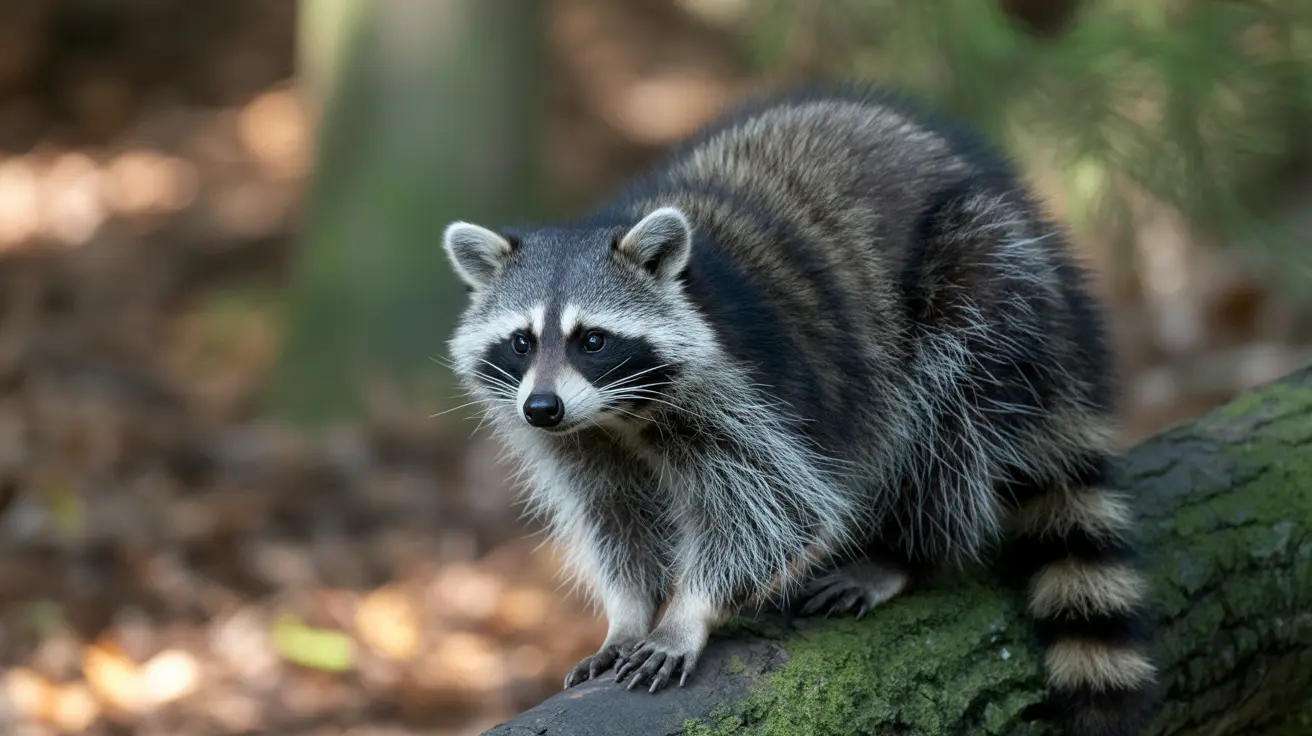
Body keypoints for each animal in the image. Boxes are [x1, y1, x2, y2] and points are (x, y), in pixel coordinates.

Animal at [442, 83, 1156, 735]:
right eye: (521, 341)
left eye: (591, 340)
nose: (542, 408)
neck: (619, 414)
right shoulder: (582, 439)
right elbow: (614, 518)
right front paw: (628, 612)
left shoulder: (743, 391)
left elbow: (773, 510)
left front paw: (687, 613)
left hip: (986, 279)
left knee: (950, 419)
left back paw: (905, 550)